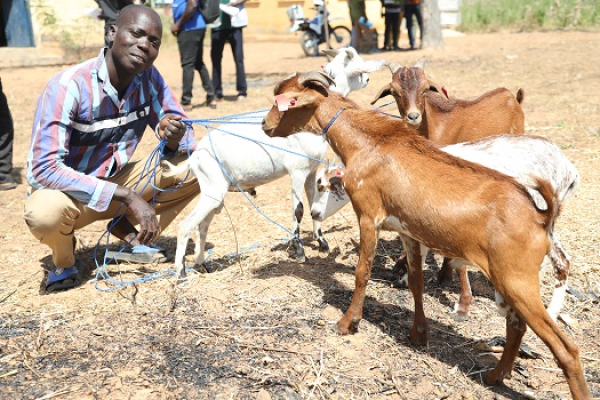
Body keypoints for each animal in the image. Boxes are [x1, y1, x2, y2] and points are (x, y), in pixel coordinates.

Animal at [163, 47, 384, 278]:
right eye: (359, 69)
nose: (368, 79)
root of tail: (196, 154)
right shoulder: (297, 171)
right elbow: (299, 209)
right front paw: (299, 251)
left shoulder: (311, 171)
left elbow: (313, 202)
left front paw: (322, 243)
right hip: (212, 191)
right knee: (185, 225)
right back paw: (181, 272)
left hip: (214, 193)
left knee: (202, 225)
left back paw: (202, 264)